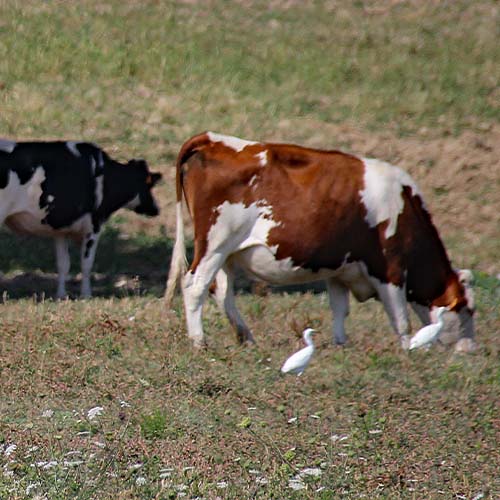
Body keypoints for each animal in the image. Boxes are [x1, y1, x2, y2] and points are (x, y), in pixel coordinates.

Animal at [0, 138, 160, 296]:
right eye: (148, 184)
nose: (156, 209)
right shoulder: (94, 225)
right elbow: (86, 263)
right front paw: (86, 295)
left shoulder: (60, 228)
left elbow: (63, 264)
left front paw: (61, 295)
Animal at [165, 133, 476, 352]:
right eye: (467, 309)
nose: (470, 351)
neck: (404, 206)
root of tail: (212, 140)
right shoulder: (391, 270)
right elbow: (400, 318)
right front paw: (407, 350)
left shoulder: (340, 270)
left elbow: (339, 309)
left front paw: (341, 345)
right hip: (215, 243)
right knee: (194, 285)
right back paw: (199, 342)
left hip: (227, 252)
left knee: (222, 291)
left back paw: (247, 338)